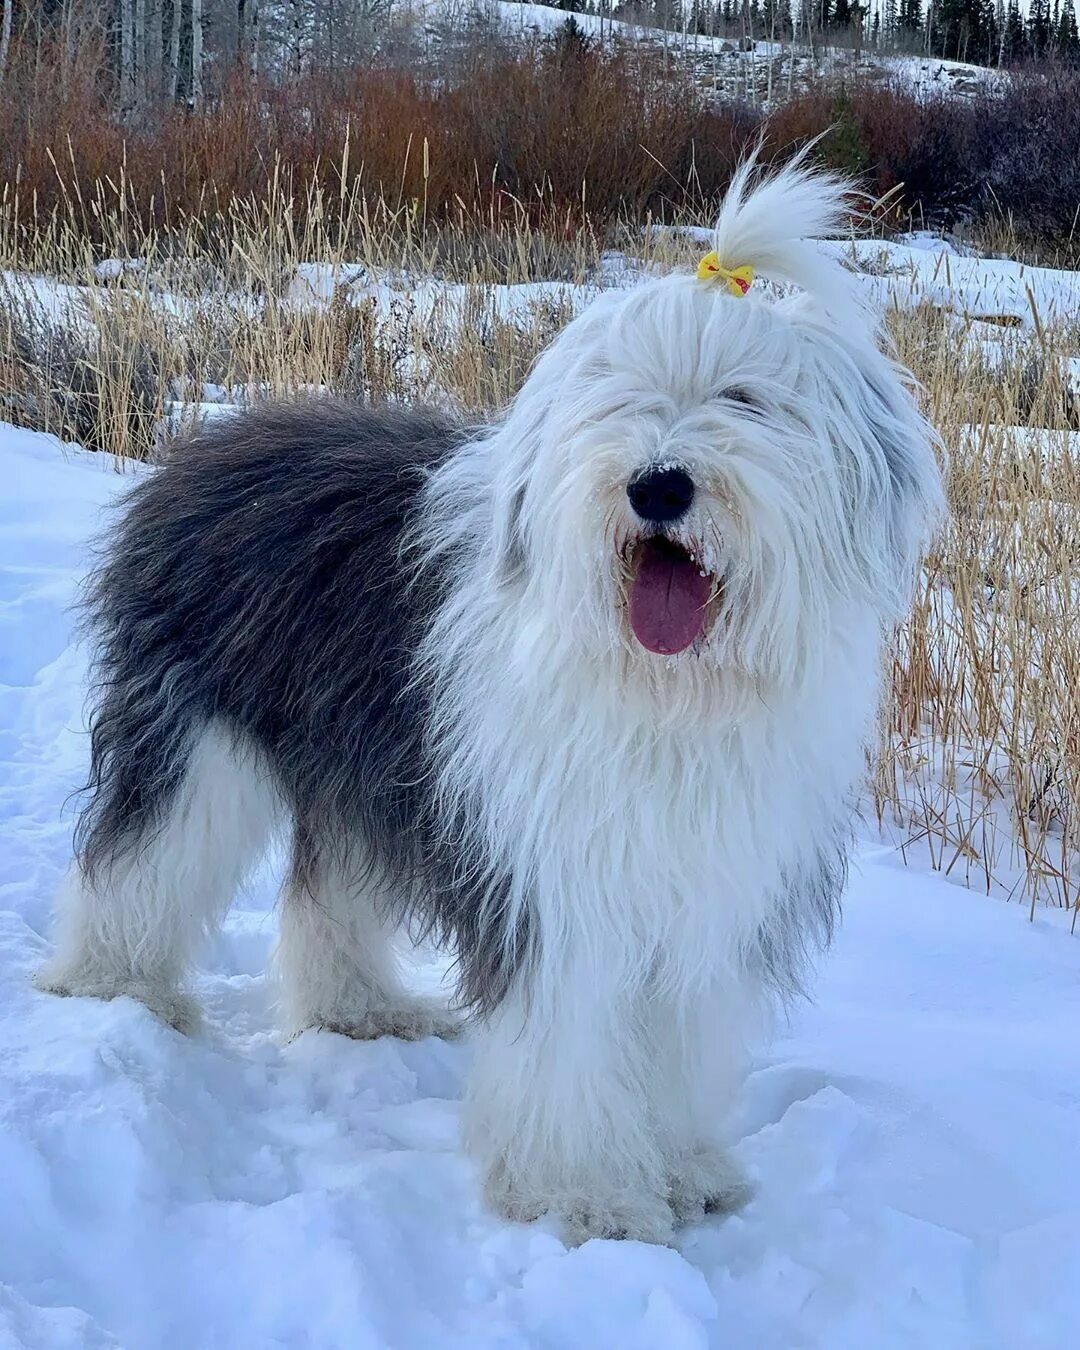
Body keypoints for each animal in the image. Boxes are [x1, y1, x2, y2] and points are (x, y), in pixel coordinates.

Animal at [37, 160, 939, 1242]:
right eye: (620, 397)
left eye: (746, 398)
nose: (659, 486)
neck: (667, 690)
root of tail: (208, 446)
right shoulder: (557, 877)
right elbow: (568, 1038)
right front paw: (588, 1195)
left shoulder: (704, 884)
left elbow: (673, 1040)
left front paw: (684, 1172)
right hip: (195, 733)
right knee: (144, 859)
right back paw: (117, 988)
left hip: (367, 762)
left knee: (327, 890)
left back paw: (360, 1012)